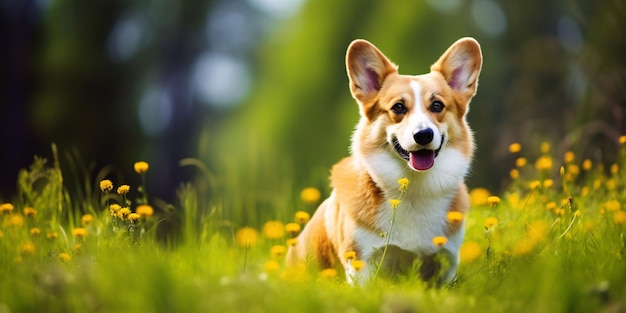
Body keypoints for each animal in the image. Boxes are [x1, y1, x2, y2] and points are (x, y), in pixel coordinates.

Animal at [286, 37, 480, 282]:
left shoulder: (447, 263)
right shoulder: (362, 264)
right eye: (398, 107)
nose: (424, 135)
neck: (414, 190)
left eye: (437, 106)